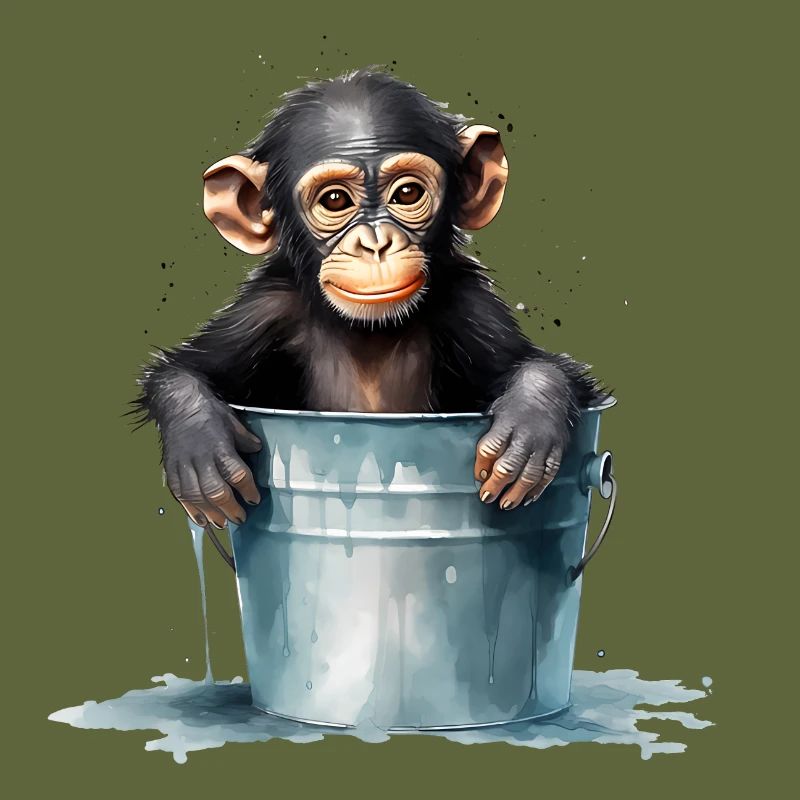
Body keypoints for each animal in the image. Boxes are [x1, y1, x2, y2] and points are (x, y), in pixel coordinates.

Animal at [134, 69, 607, 531]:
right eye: (335, 200)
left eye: (407, 195)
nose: (376, 244)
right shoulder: (264, 310)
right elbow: (187, 369)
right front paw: (199, 445)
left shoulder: (471, 308)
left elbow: (537, 365)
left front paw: (528, 422)